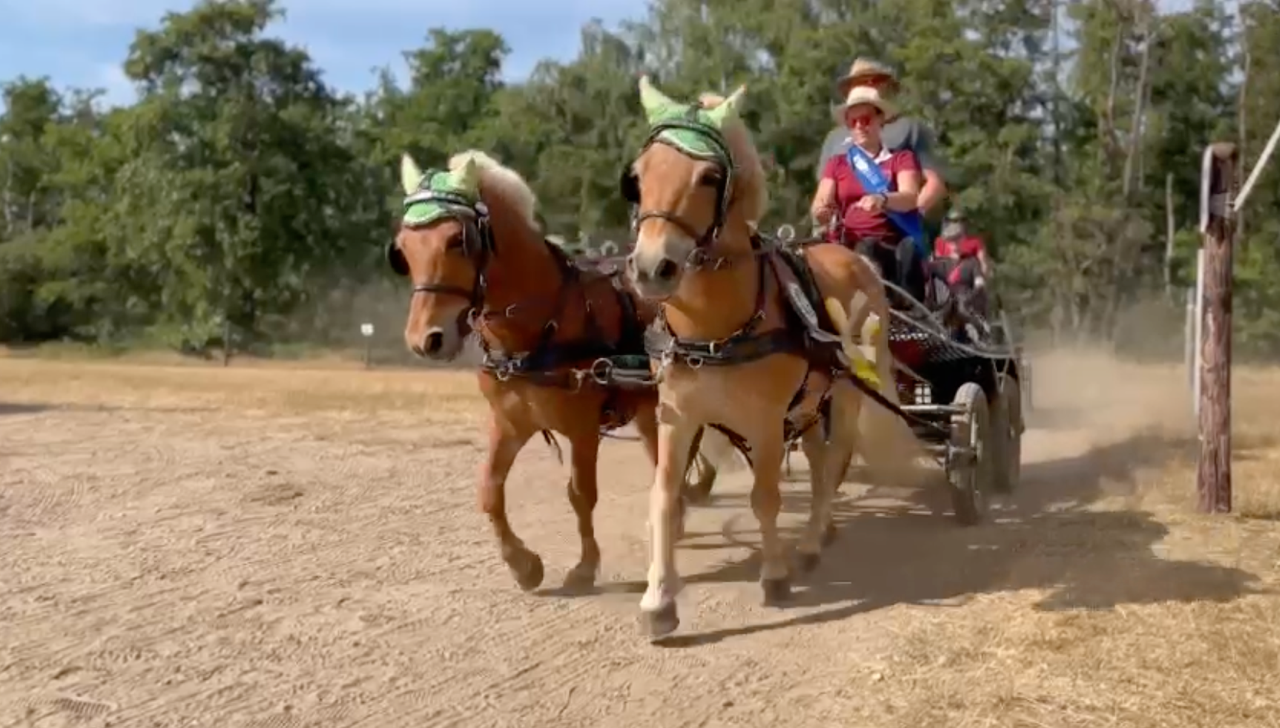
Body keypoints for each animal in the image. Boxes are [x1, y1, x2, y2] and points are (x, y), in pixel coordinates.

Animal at [389, 150, 716, 593]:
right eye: (403, 248)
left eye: (458, 240)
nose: (426, 339)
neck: (535, 328)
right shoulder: (510, 422)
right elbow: (489, 490)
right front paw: (523, 565)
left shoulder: (582, 426)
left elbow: (581, 494)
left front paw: (584, 566)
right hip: (649, 407)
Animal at [619, 78, 911, 634]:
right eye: (637, 177)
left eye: (710, 175)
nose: (650, 268)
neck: (714, 330)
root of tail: (850, 254)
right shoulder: (676, 415)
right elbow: (664, 496)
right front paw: (658, 600)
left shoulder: (765, 419)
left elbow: (765, 497)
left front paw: (774, 575)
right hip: (811, 403)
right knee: (819, 462)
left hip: (843, 396)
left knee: (834, 460)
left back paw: (813, 540)